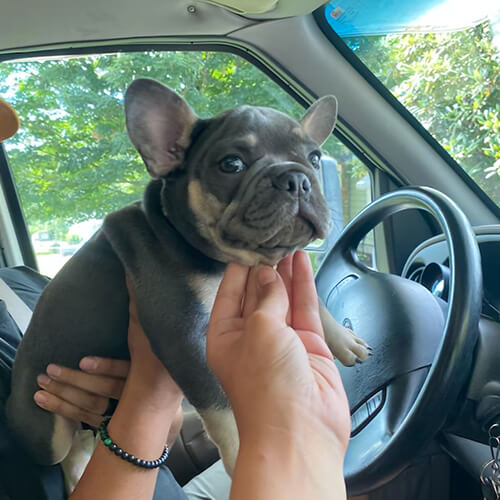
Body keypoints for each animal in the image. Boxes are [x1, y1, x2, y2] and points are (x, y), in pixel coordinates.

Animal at [6, 78, 369, 473]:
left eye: (315, 158)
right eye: (231, 164)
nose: (297, 178)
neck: (233, 260)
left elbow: (316, 302)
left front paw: (345, 341)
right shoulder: (183, 336)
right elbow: (220, 405)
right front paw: (241, 451)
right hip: (46, 427)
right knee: (64, 450)